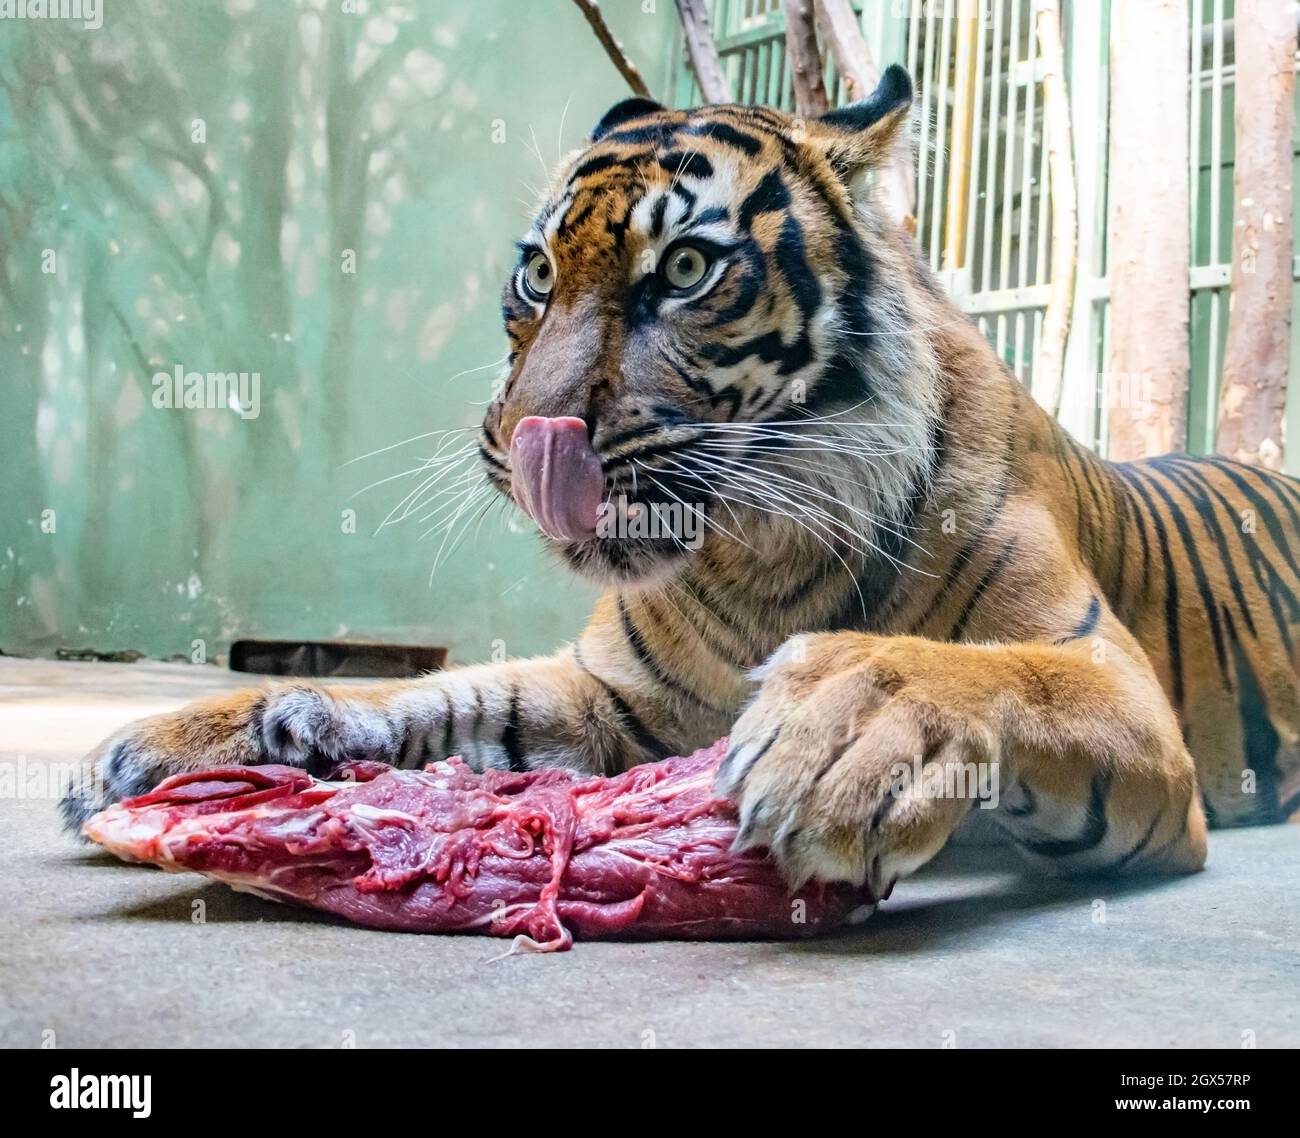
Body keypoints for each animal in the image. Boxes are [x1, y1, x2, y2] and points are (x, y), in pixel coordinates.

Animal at [63, 66, 1300, 905]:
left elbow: (975, 671)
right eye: (536, 273)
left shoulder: (1115, 688)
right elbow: (440, 698)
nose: (530, 441)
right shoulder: (606, 695)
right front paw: (180, 740)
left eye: (690, 270)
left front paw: (839, 735)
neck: (760, 560)